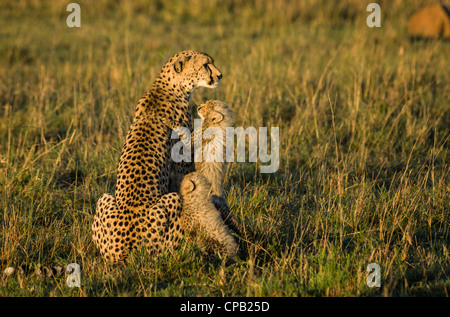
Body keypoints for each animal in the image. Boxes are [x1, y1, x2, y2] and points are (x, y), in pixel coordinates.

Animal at [92, 50, 223, 262]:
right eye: (205, 65)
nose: (220, 76)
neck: (169, 86)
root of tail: (125, 252)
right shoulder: (182, 161)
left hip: (103, 199)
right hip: (167, 220)